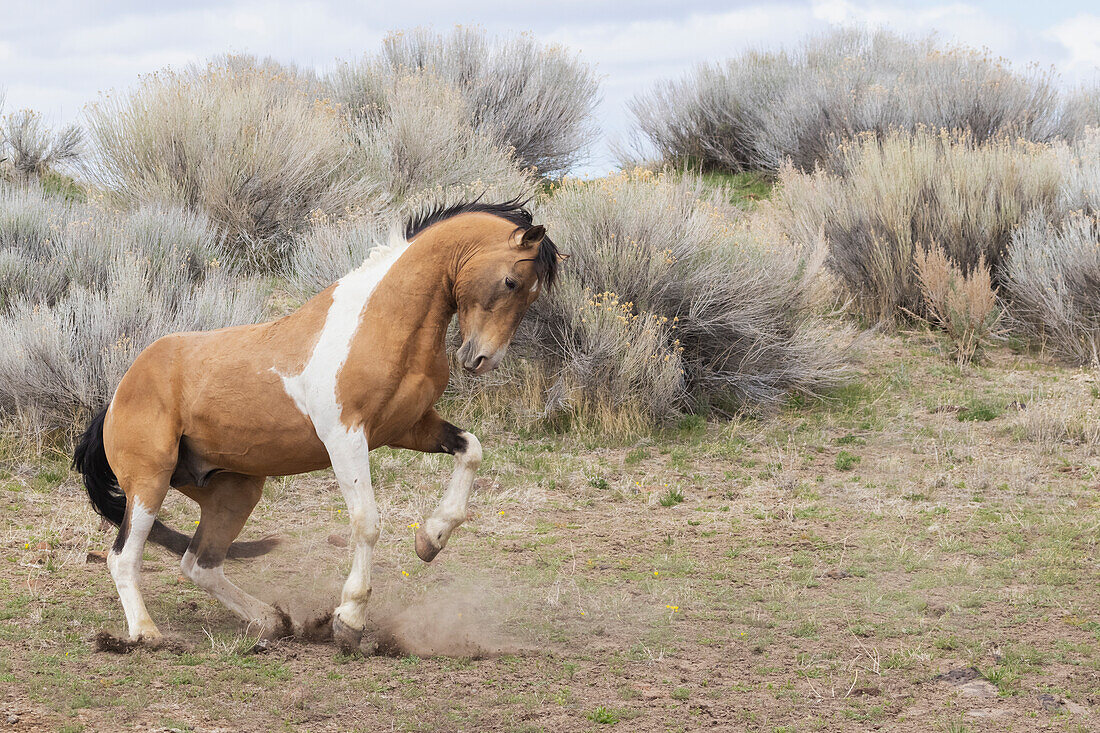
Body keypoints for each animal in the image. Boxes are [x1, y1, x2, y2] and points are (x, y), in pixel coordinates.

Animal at [73, 197, 563, 647]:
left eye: (533, 294)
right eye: (511, 281)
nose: (481, 359)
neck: (383, 323)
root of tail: (116, 398)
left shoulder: (409, 427)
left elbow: (471, 449)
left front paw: (432, 538)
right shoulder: (345, 437)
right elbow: (366, 521)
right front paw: (349, 619)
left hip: (233, 490)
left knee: (200, 565)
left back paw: (273, 621)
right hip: (150, 481)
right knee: (124, 557)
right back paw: (146, 633)